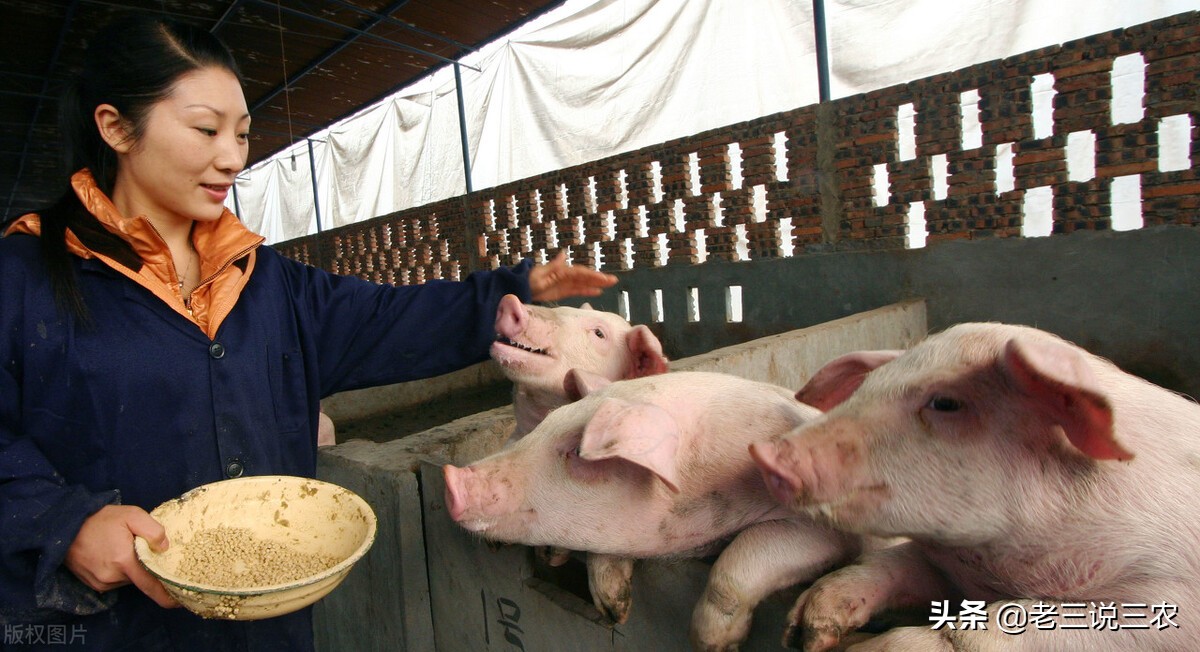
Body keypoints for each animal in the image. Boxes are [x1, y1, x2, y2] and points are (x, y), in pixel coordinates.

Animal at [441, 369, 873, 648]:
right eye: (545, 424)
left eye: (576, 451)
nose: (450, 477)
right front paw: (614, 609)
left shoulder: (832, 529)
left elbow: (746, 554)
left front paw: (710, 644)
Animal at [748, 324, 1200, 648]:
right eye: (865, 389)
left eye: (946, 403)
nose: (764, 452)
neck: (1002, 568)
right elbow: (893, 564)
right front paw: (806, 630)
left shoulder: (1169, 598)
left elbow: (971, 634)